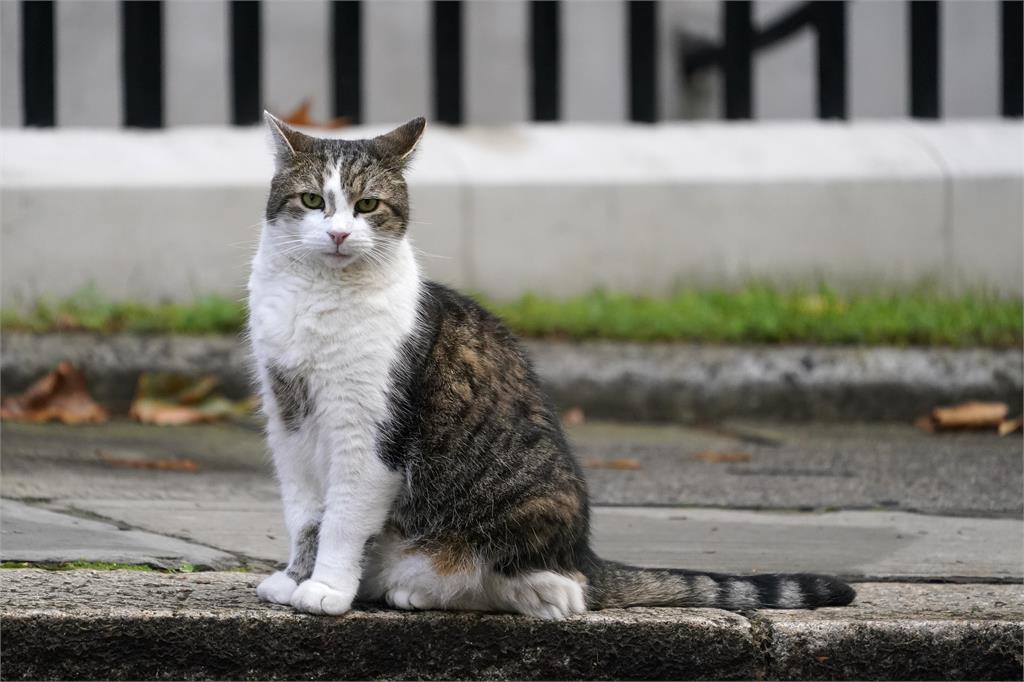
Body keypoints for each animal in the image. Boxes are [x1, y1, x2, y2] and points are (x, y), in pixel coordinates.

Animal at [247, 114, 856, 618]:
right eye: (312, 201)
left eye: (368, 206)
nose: (339, 233)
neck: (318, 299)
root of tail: (584, 552)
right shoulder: (289, 422)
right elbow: (305, 515)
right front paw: (294, 579)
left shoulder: (367, 433)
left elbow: (343, 519)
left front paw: (326, 589)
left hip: (527, 508)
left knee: (551, 588)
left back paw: (447, 588)